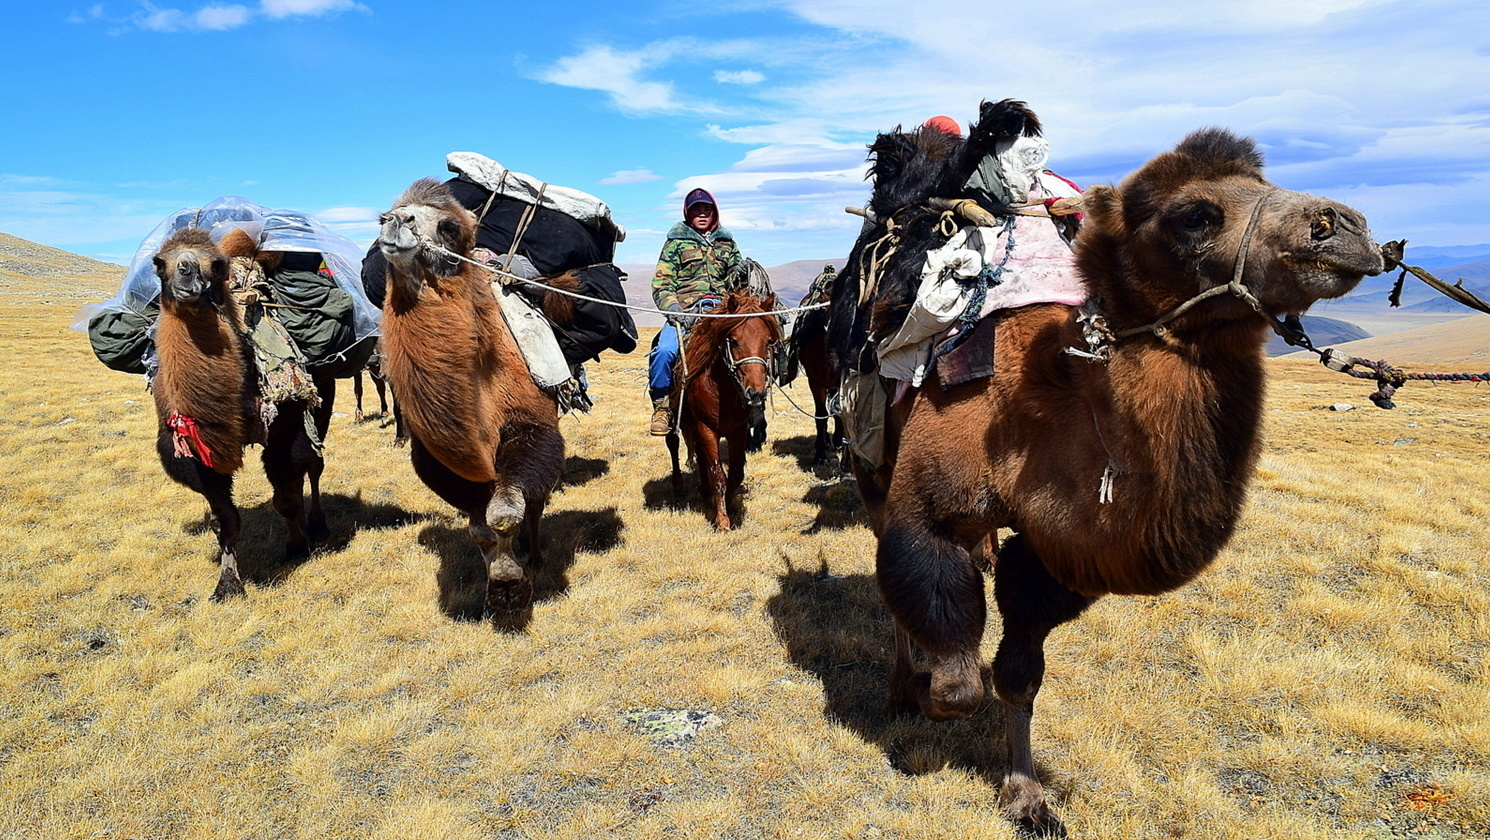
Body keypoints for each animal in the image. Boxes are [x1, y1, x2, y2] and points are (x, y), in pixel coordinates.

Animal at [149, 226, 335, 601]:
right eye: (159, 263)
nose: (186, 274)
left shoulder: (286, 428)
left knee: (314, 466)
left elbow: (287, 495)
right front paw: (228, 584)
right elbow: (224, 520)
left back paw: (317, 525)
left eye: (216, 264)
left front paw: (297, 545)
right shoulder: (196, 453)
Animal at [372, 178, 563, 622]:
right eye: (385, 215)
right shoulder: (439, 461)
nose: (395, 221)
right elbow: (480, 528)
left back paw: (536, 556)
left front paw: (512, 586)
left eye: (449, 227)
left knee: (535, 503)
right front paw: (498, 589)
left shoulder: (534, 429)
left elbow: (505, 512)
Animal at [664, 291, 780, 527]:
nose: (755, 393)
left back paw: (705, 493)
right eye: (733, 341)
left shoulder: (738, 430)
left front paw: (729, 503)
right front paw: (722, 520)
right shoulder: (707, 429)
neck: (722, 391)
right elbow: (718, 474)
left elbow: (735, 472)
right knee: (673, 443)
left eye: (768, 341)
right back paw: (678, 485)